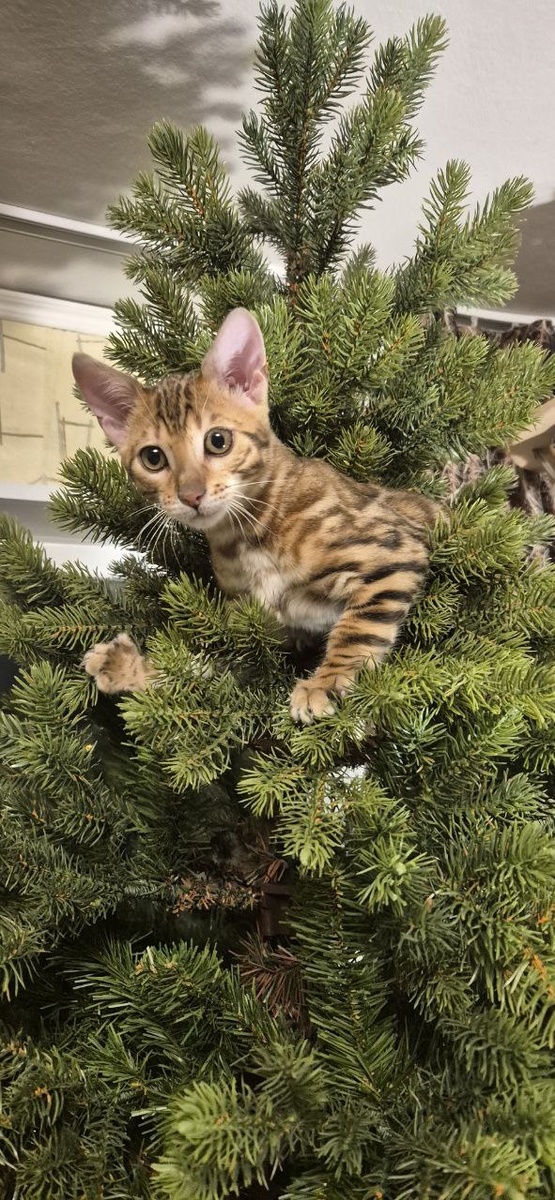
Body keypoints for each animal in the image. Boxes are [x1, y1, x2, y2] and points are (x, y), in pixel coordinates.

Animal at [72, 308, 437, 723]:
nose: (191, 495)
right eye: (153, 458)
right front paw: (130, 666)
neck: (246, 536)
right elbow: (209, 667)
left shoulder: (393, 549)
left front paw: (324, 684)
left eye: (218, 441)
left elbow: (360, 629)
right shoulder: (254, 629)